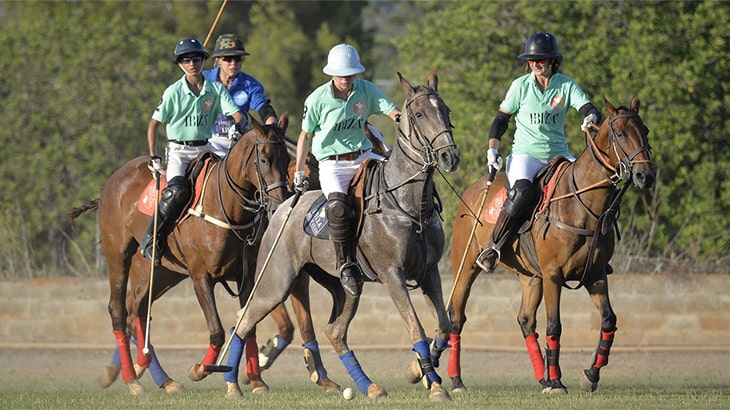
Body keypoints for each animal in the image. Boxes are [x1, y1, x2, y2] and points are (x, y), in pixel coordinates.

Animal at [225, 70, 458, 400]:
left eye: (446, 111)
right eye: (419, 114)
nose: (450, 156)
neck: (409, 204)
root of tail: (283, 206)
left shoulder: (429, 272)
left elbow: (444, 325)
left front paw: (417, 371)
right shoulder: (393, 274)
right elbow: (417, 327)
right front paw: (434, 384)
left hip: (345, 287)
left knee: (335, 332)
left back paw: (369, 386)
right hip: (275, 281)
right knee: (243, 321)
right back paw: (233, 385)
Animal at [444, 96, 656, 394]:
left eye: (645, 130)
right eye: (620, 133)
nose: (646, 175)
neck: (584, 207)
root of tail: (474, 189)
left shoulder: (595, 274)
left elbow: (609, 320)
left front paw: (589, 375)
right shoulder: (553, 274)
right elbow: (554, 325)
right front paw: (557, 382)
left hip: (530, 276)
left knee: (525, 320)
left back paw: (541, 377)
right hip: (464, 267)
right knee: (457, 316)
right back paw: (457, 380)